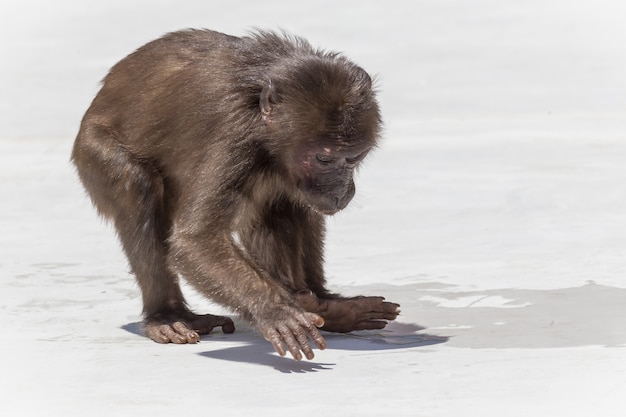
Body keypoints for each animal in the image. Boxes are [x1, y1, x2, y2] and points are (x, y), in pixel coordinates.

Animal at [70, 28, 398, 360]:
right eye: (324, 159)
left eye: (353, 159)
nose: (341, 189)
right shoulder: (234, 136)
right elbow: (195, 242)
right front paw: (276, 311)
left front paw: (321, 307)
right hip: (91, 149)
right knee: (136, 183)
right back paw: (167, 315)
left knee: (279, 203)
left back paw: (322, 304)